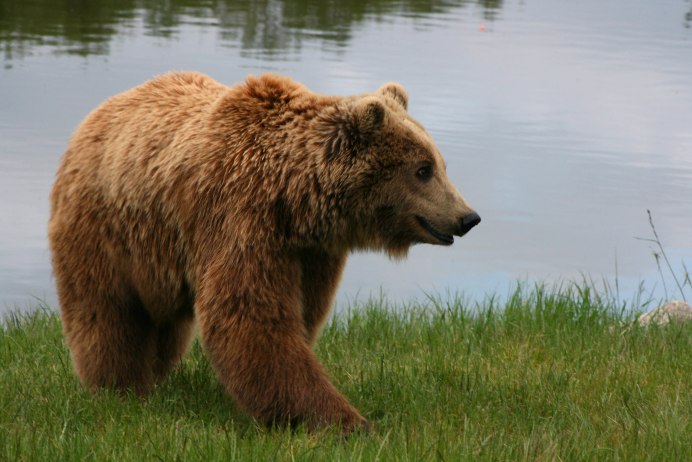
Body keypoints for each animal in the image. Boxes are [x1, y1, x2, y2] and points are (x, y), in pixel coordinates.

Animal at [48, 72, 480, 433]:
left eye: (439, 163)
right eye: (423, 169)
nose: (467, 217)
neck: (294, 199)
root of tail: (95, 115)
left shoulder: (311, 254)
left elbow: (300, 314)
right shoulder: (241, 219)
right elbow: (252, 317)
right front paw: (345, 421)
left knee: (163, 325)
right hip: (106, 229)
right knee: (107, 310)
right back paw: (117, 386)